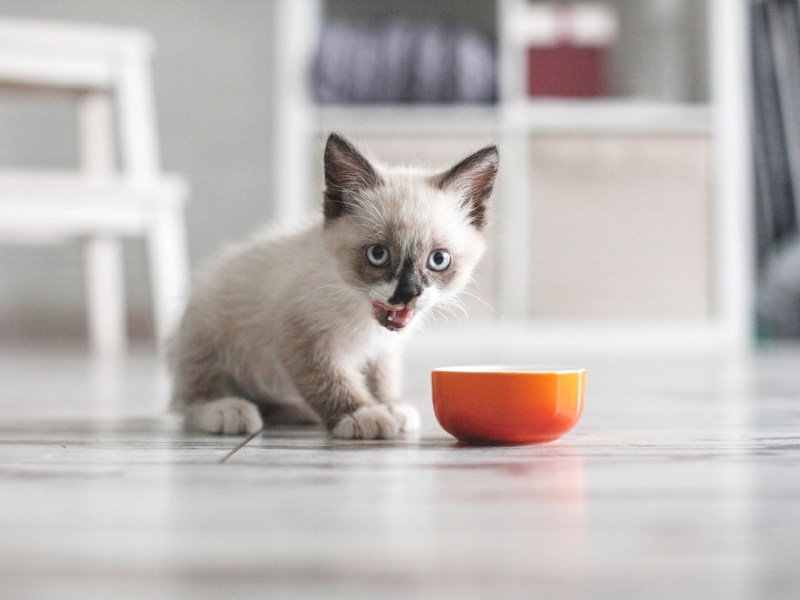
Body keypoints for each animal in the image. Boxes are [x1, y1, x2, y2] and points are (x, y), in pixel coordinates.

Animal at [169, 134, 496, 438]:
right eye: (378, 255)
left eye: (438, 260)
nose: (407, 294)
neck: (361, 313)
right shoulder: (304, 338)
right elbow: (330, 381)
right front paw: (363, 415)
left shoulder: (382, 348)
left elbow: (382, 377)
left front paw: (390, 405)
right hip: (207, 334)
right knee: (191, 399)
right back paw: (228, 411)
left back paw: (299, 412)